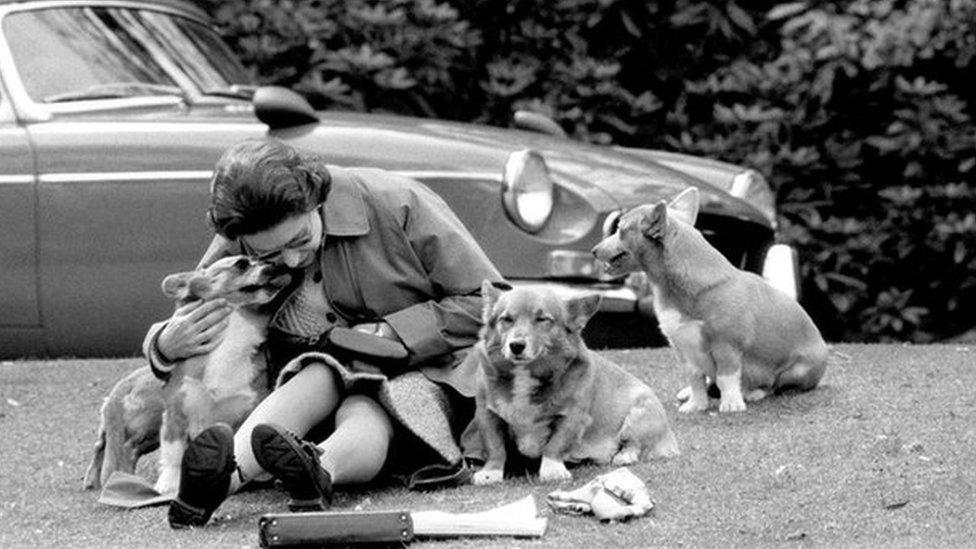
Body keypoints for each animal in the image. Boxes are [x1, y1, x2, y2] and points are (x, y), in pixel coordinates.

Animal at [83, 256, 290, 492]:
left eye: (267, 260)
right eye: (241, 264)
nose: (277, 265)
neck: (231, 337)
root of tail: (123, 385)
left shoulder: (246, 411)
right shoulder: (176, 415)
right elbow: (174, 456)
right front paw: (168, 486)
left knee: (119, 447)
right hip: (152, 419)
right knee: (116, 447)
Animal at [468, 278, 676, 484]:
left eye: (542, 319)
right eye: (507, 319)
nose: (516, 346)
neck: (525, 374)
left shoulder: (573, 416)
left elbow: (555, 445)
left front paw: (552, 470)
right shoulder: (487, 415)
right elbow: (495, 447)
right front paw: (491, 472)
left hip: (640, 415)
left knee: (634, 444)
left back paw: (624, 456)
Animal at [592, 186, 828, 414]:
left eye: (620, 230)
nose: (593, 250)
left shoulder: (726, 347)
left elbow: (726, 378)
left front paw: (731, 403)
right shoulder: (684, 351)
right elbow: (696, 379)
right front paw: (696, 404)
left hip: (797, 371)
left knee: (774, 385)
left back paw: (753, 393)